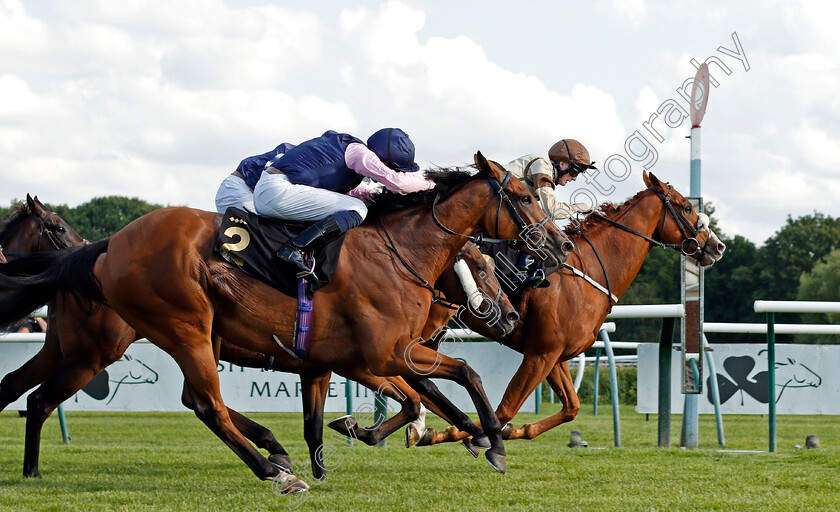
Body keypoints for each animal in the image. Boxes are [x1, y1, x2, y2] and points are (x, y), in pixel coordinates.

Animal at [0, 154, 572, 482]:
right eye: (524, 197)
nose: (560, 245)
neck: (397, 252)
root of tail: (108, 244)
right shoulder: (384, 354)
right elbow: (455, 378)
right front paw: (491, 439)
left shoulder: (330, 361)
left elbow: (329, 421)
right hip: (165, 331)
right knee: (205, 405)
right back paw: (271, 470)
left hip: (102, 343)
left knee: (30, 391)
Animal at [410, 170, 724, 446]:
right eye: (686, 207)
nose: (717, 246)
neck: (590, 274)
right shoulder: (540, 354)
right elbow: (504, 410)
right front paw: (456, 433)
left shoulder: (555, 355)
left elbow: (571, 407)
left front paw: (513, 431)